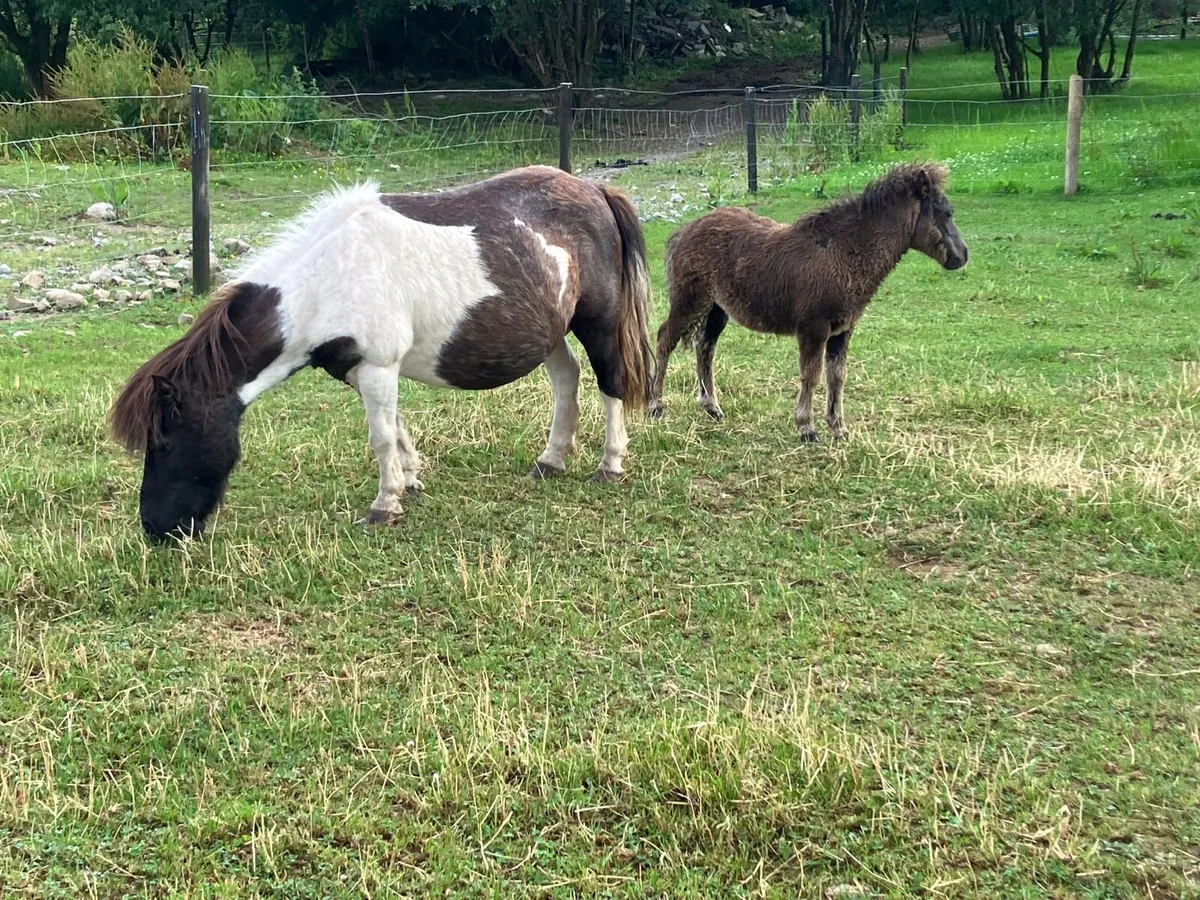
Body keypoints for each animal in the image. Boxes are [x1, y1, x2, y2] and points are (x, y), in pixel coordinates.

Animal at [109, 164, 654, 541]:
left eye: (163, 442)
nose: (156, 530)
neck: (326, 281)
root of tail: (595, 190)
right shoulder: (358, 370)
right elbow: (395, 430)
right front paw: (409, 481)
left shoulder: (377, 366)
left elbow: (380, 437)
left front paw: (383, 506)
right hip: (550, 330)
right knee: (567, 378)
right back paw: (551, 460)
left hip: (597, 322)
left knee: (610, 382)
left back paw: (609, 465)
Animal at [647, 162, 968, 441]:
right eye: (947, 212)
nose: (962, 256)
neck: (843, 252)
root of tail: (684, 232)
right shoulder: (814, 328)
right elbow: (811, 375)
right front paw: (807, 428)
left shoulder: (843, 330)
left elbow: (837, 376)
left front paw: (838, 429)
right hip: (690, 301)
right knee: (665, 338)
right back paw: (655, 405)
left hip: (717, 309)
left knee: (705, 347)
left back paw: (711, 407)